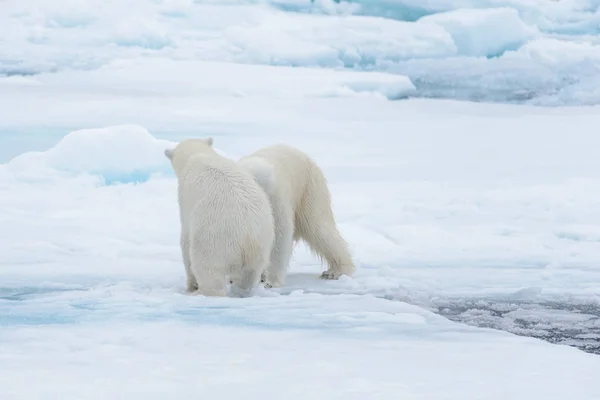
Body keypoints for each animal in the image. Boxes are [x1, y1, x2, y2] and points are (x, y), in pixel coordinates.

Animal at [165, 138, 276, 296]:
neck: (199, 155)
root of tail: (248, 235)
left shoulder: (185, 199)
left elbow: (185, 240)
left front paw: (191, 286)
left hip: (215, 239)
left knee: (208, 269)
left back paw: (202, 292)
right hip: (263, 243)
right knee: (249, 275)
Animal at [237, 144, 354, 288]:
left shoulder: (275, 200)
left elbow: (279, 235)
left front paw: (272, 282)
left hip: (309, 192)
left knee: (319, 229)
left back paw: (335, 271)